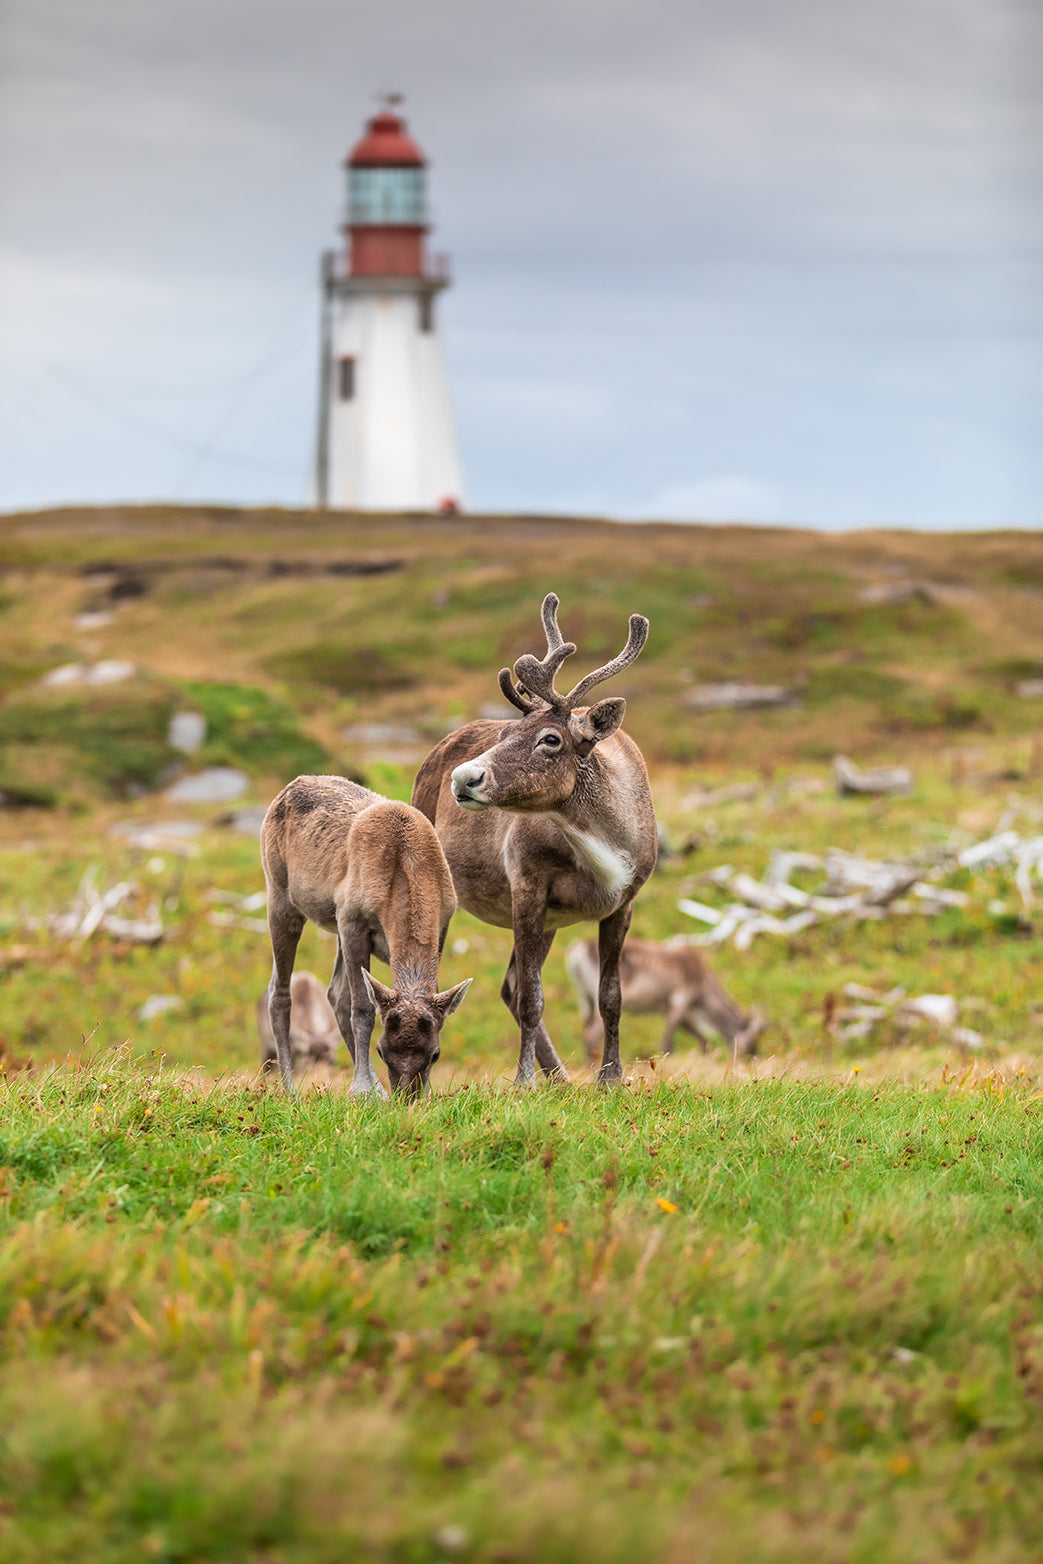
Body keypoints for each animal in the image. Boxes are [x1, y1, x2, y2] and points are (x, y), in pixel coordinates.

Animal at [261, 772, 472, 1094]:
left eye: (435, 1053)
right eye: (381, 1050)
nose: (407, 1096)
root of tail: (288, 788)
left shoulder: (442, 924)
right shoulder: (353, 921)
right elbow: (361, 1007)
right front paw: (362, 1089)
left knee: (334, 992)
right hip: (280, 896)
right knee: (279, 992)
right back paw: (290, 1088)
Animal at [412, 591, 656, 1082]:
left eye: (550, 739)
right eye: (506, 730)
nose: (464, 777)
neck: (603, 846)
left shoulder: (624, 902)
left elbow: (611, 998)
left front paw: (611, 1077)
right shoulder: (527, 887)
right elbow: (532, 998)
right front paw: (523, 1079)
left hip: (550, 922)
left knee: (507, 986)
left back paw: (561, 1079)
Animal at [566, 938, 763, 1063]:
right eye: (751, 1042)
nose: (753, 1059)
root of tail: (576, 952)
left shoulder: (681, 1013)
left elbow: (703, 1041)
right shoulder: (679, 1002)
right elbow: (668, 1043)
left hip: (584, 998)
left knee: (585, 1031)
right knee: (591, 1035)